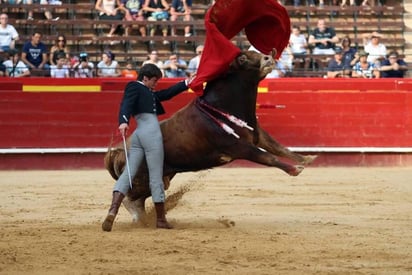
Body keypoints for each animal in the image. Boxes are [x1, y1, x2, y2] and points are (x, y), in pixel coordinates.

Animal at [104, 50, 318, 224]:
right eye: (242, 58)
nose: (268, 58)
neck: (221, 105)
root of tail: (118, 151)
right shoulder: (240, 147)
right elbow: (268, 157)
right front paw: (295, 169)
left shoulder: (257, 134)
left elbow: (279, 147)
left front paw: (306, 158)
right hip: (141, 177)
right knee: (130, 197)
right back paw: (133, 219)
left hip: (162, 177)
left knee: (140, 197)